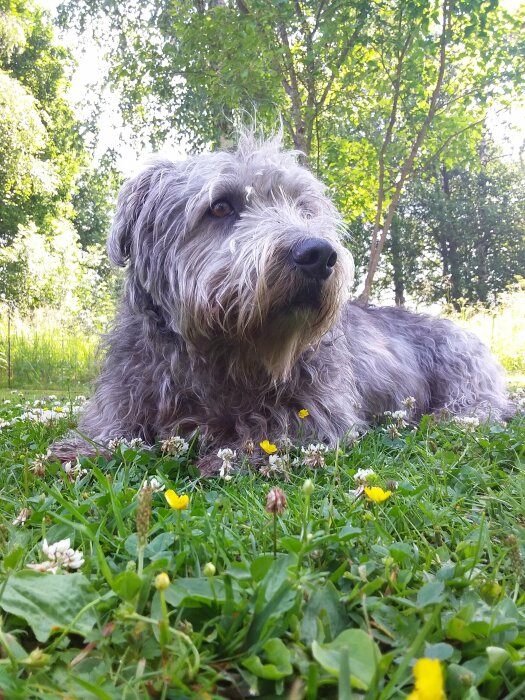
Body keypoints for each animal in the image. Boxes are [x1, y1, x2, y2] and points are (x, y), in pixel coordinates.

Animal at [54, 133, 512, 470]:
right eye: (220, 206)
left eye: (304, 207)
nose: (319, 254)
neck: (226, 356)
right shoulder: (129, 385)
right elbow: (110, 423)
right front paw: (84, 448)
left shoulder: (322, 405)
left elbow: (276, 423)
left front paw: (236, 452)